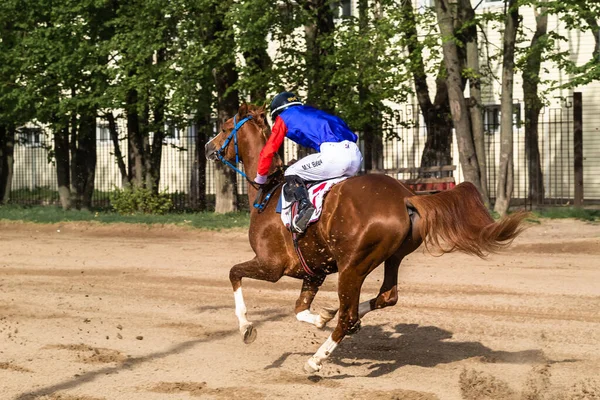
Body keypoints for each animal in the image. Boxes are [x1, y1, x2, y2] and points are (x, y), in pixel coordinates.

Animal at [204, 101, 528, 374]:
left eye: (225, 128)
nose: (208, 146)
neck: (268, 192)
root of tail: (406, 196)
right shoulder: (313, 272)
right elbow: (299, 309)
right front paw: (320, 317)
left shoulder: (271, 266)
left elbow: (234, 274)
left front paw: (246, 328)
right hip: (392, 257)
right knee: (385, 297)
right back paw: (339, 317)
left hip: (353, 266)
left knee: (348, 315)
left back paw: (316, 360)